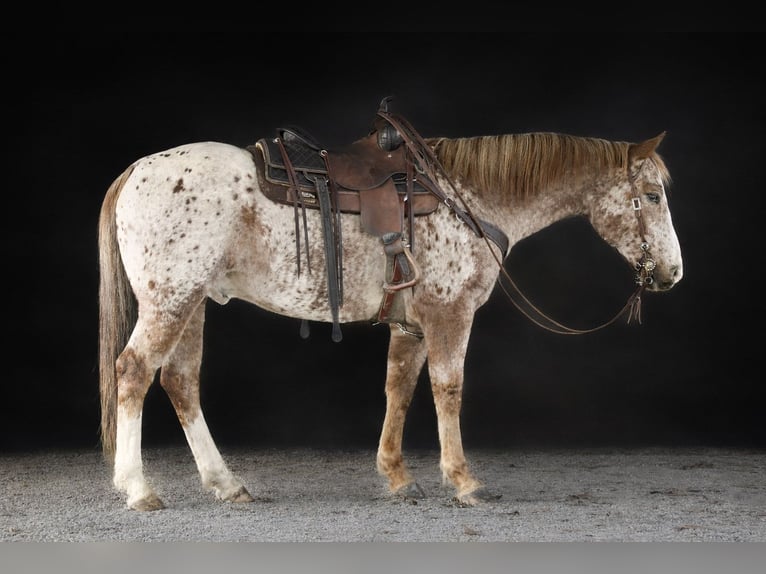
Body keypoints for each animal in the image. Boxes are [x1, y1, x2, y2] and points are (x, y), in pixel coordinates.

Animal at [98, 104, 683, 511]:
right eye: (653, 196)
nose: (673, 272)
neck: (466, 198)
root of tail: (134, 172)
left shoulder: (412, 325)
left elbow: (398, 388)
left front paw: (398, 476)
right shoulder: (450, 314)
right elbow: (448, 389)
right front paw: (463, 480)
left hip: (192, 302)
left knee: (179, 382)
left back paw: (226, 483)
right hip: (170, 301)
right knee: (134, 371)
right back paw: (137, 488)